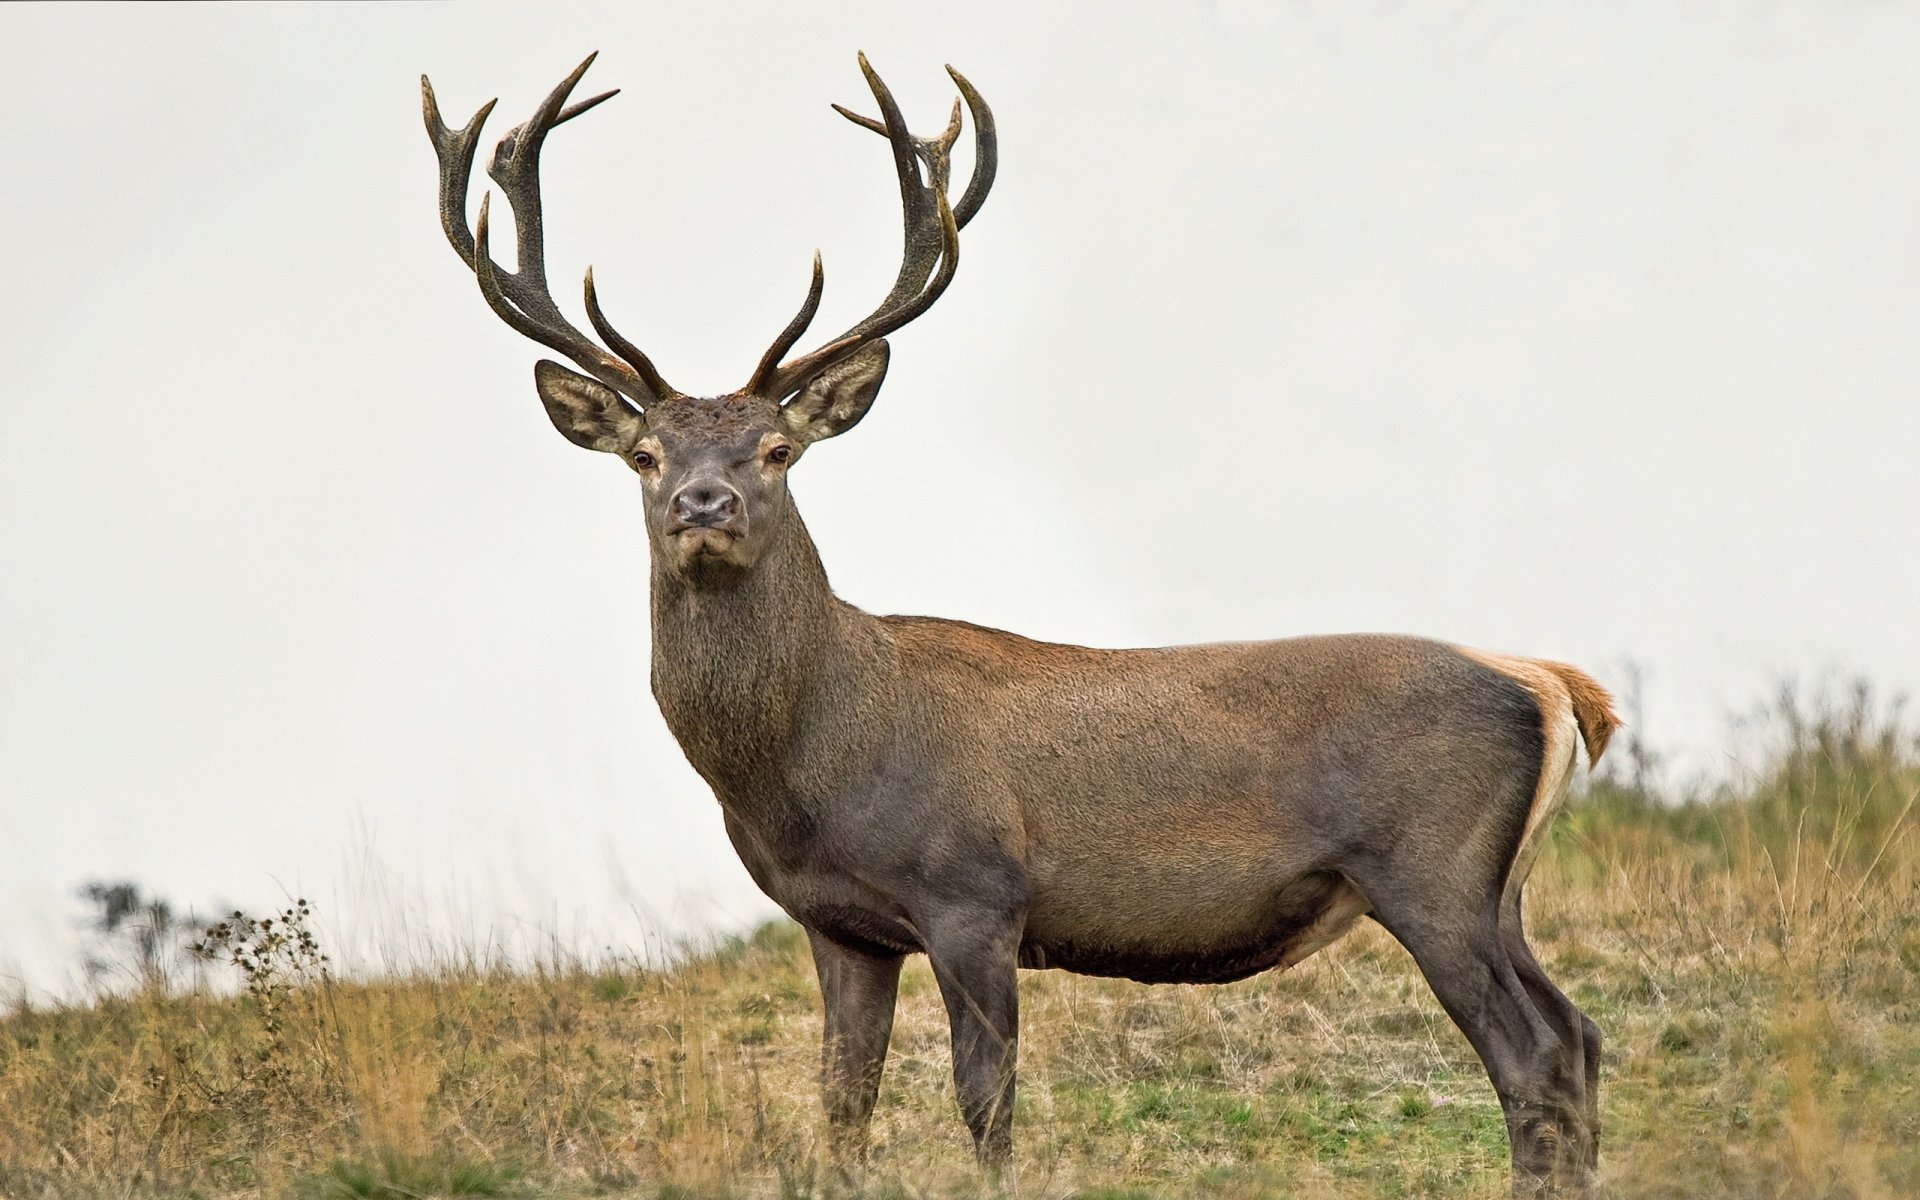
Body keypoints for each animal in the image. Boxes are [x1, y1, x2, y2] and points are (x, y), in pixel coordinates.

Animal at [422, 52, 1620, 1197]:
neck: (809, 765)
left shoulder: (974, 892)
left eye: (776, 448)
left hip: (1431, 870)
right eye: (644, 454)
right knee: (1579, 1037)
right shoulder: (839, 924)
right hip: (1496, 890)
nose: (701, 506)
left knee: (1531, 1056)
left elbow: (983, 1097)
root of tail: (1554, 685)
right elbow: (842, 1103)